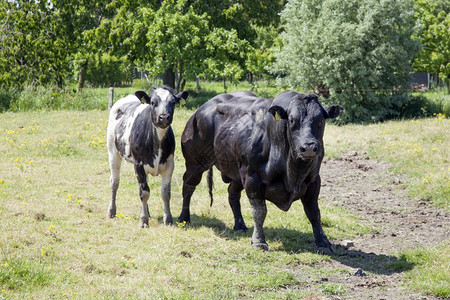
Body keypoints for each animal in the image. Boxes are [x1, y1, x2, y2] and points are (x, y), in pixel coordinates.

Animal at [107, 86, 188, 227]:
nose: (164, 117)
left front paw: (168, 219)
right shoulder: (138, 165)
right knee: (115, 182)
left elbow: (165, 193)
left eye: (173, 102)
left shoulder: (169, 165)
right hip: (113, 150)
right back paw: (112, 211)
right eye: (153, 103)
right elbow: (144, 193)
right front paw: (143, 220)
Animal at [178, 89, 342, 251]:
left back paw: (239, 225)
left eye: (321, 120)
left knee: (232, 193)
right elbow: (259, 212)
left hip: (237, 172)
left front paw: (323, 241)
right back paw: (183, 218)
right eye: (291, 120)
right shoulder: (252, 178)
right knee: (188, 187)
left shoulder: (314, 180)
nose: (308, 147)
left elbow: (314, 212)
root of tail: (201, 109)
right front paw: (258, 241)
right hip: (195, 164)